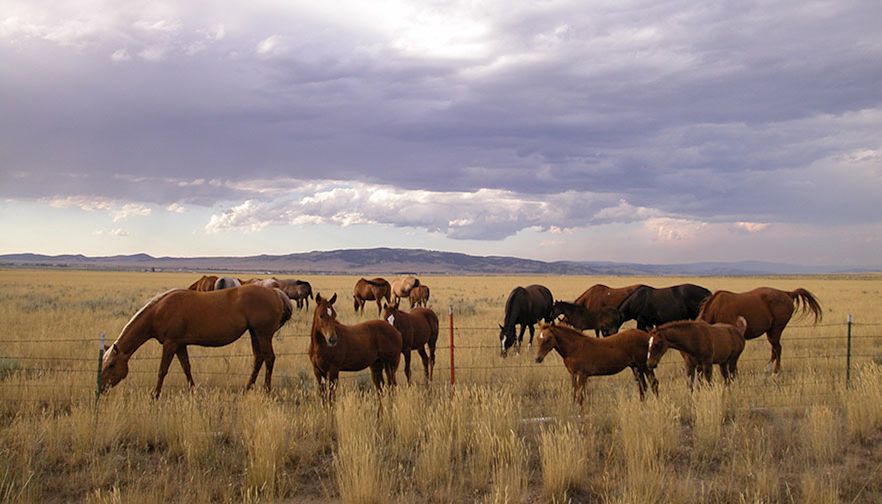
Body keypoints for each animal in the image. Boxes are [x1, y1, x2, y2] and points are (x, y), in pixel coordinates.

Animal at [100, 285, 293, 398]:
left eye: (111, 365)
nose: (101, 388)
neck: (159, 311)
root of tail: (274, 292)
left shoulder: (170, 344)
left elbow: (162, 371)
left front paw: (155, 395)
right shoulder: (180, 345)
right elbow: (187, 368)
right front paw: (193, 391)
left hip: (263, 335)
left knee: (269, 358)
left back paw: (266, 390)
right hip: (255, 334)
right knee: (258, 359)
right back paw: (247, 389)